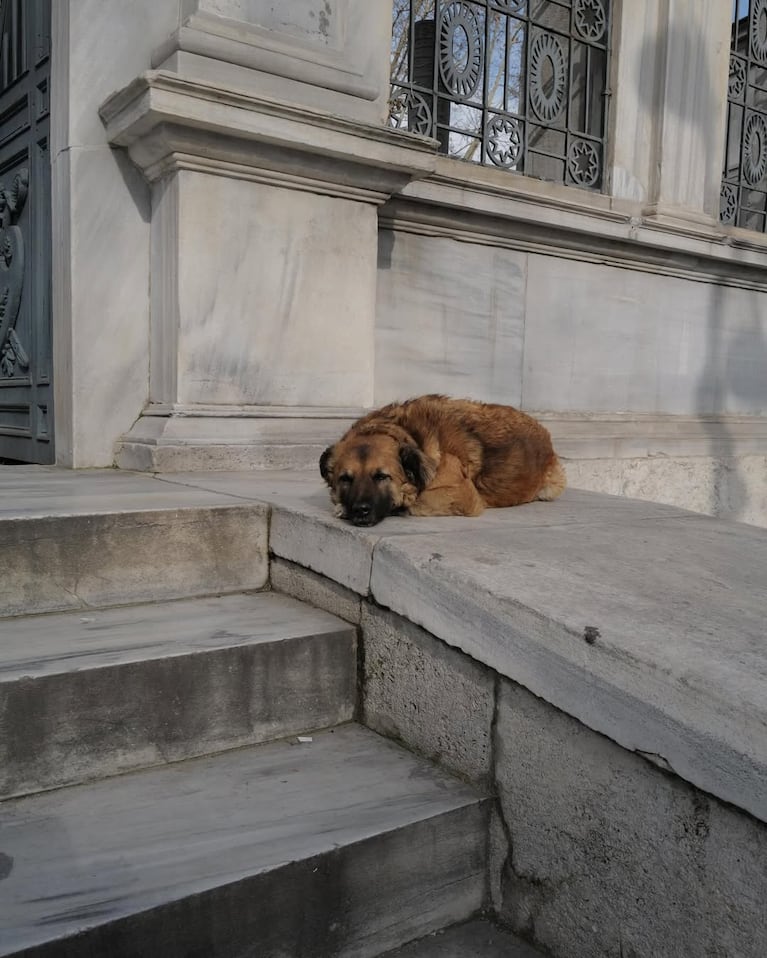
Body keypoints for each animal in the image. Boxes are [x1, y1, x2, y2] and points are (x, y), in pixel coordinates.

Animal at [318, 396, 564, 528]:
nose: (360, 510)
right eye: (345, 479)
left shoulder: (461, 494)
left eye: (381, 476)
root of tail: (545, 433)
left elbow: (413, 502)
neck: (409, 434)